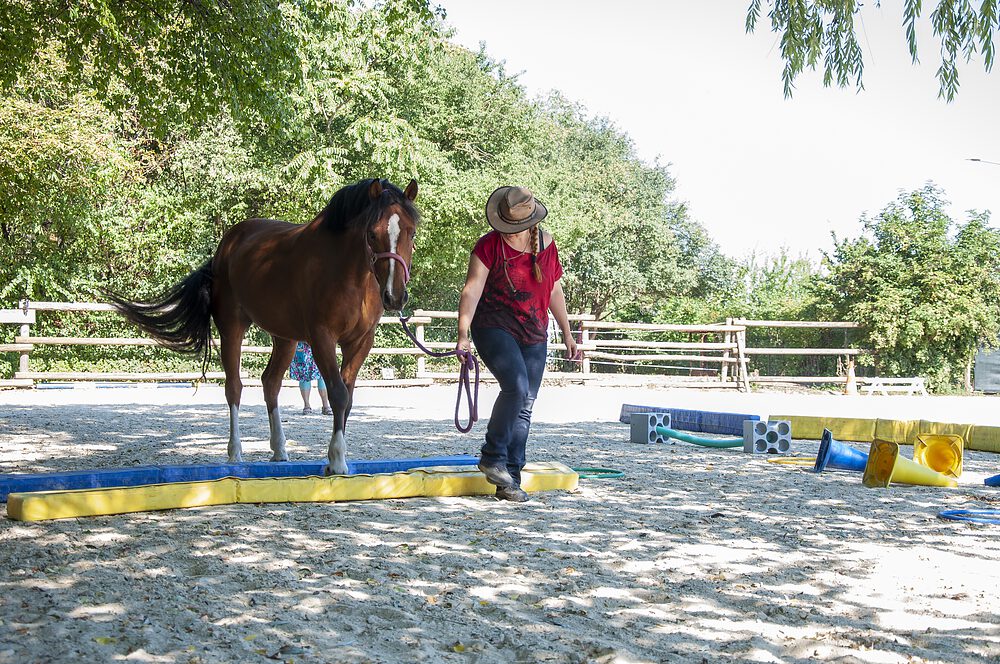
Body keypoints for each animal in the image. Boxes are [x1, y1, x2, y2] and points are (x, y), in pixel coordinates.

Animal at [108, 179, 418, 474]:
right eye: (372, 233)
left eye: (411, 232)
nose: (395, 296)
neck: (349, 274)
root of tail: (223, 249)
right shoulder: (322, 338)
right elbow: (338, 394)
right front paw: (337, 459)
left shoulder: (361, 342)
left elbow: (348, 396)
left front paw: (336, 456)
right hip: (232, 329)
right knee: (234, 387)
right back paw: (235, 452)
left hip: (286, 338)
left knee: (270, 383)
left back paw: (279, 448)